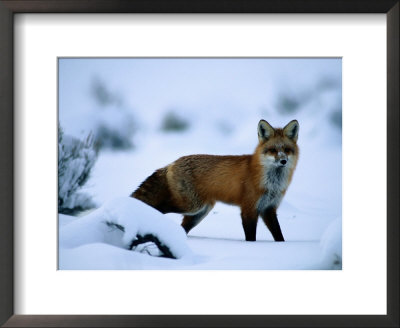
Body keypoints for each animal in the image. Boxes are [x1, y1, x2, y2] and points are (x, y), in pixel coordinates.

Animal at [132, 119, 300, 242]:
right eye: (272, 150)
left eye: (287, 150)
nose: (283, 161)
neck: (272, 184)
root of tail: (172, 163)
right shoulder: (249, 209)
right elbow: (251, 238)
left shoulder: (269, 209)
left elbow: (279, 236)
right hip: (191, 205)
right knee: (158, 207)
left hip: (199, 212)